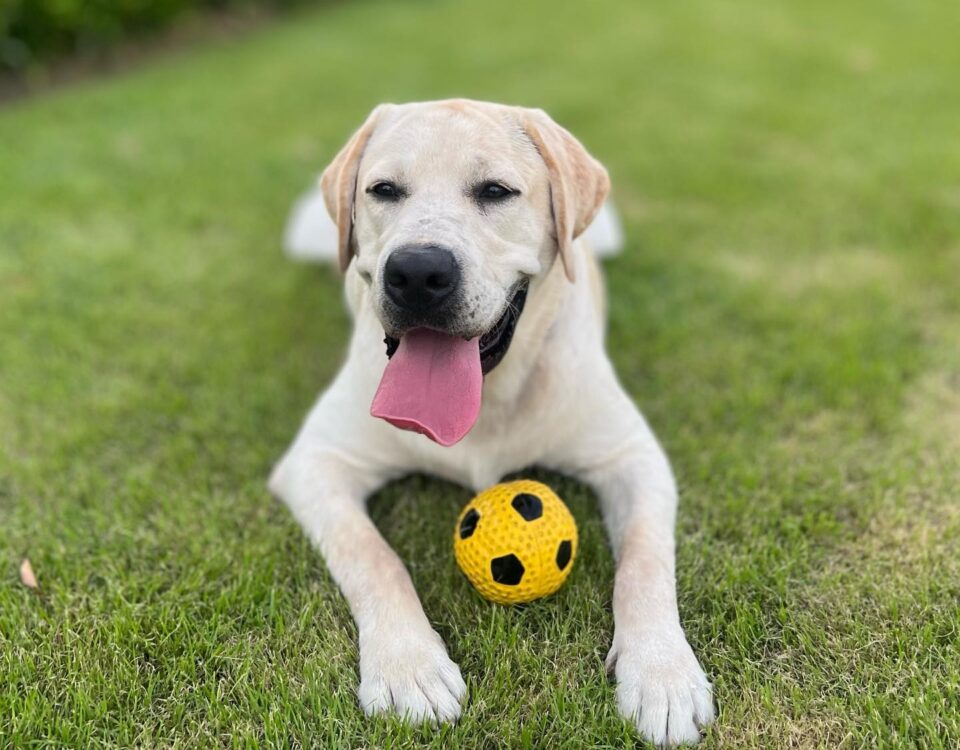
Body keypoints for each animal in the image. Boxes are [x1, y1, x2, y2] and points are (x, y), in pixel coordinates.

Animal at [266, 98, 716, 748]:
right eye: (383, 190)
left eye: (496, 191)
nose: (417, 273)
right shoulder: (316, 462)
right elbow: (373, 557)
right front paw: (408, 666)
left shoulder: (632, 456)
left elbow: (645, 563)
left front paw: (661, 672)